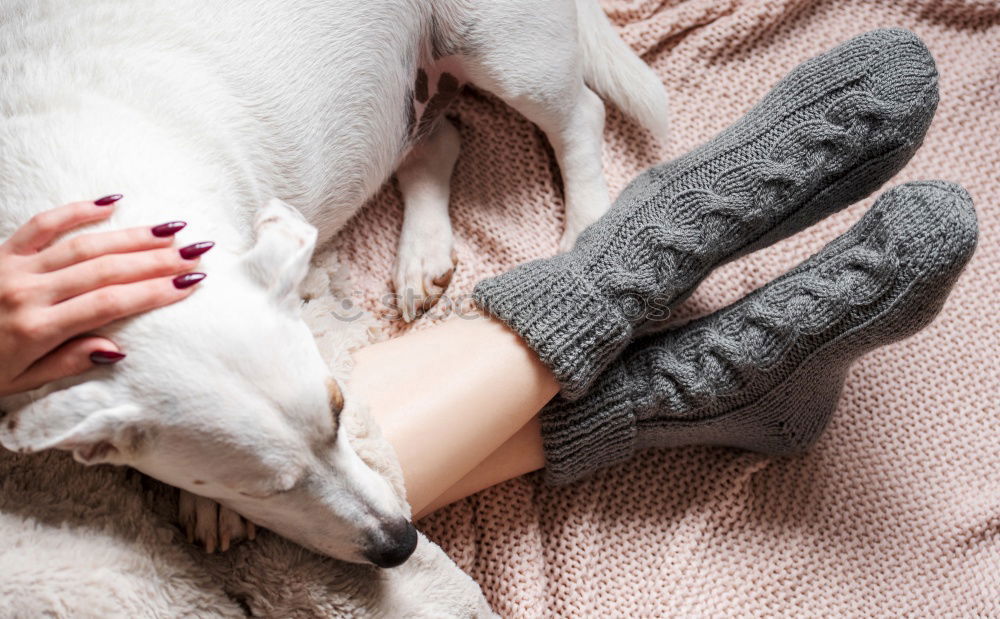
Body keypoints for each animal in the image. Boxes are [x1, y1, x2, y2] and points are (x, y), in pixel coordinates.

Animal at [1, 0, 672, 568]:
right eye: (263, 489)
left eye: (341, 409)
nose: (401, 545)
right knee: (439, 141)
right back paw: (421, 254)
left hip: (503, 52)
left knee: (580, 115)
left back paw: (586, 230)